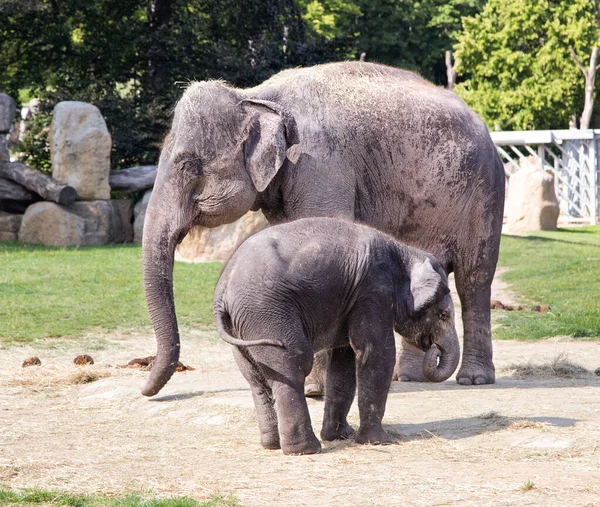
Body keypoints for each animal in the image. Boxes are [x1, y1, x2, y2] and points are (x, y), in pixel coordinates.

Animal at [142, 61, 506, 398]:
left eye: (187, 165)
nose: (145, 390)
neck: (254, 95)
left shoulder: (319, 163)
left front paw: (315, 391)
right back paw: (408, 378)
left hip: (486, 193)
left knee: (474, 279)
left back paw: (474, 379)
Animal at [213, 216, 458, 454]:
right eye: (444, 315)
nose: (435, 348)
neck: (405, 250)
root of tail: (222, 290)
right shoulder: (374, 290)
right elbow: (376, 353)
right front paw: (380, 442)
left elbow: (344, 362)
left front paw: (340, 436)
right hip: (267, 313)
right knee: (293, 365)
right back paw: (305, 450)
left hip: (243, 327)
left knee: (256, 379)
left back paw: (272, 445)